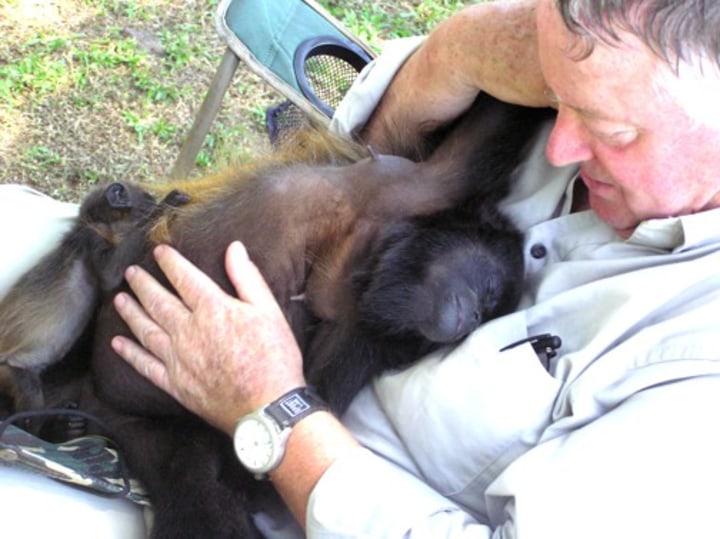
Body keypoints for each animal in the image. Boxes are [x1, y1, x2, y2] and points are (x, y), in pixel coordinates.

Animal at [0, 95, 556, 536]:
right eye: (488, 294)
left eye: (488, 313)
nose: (469, 319)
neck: (371, 253)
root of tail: (93, 396)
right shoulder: (396, 185)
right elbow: (465, 160)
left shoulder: (356, 320)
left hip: (139, 422)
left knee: (195, 480)